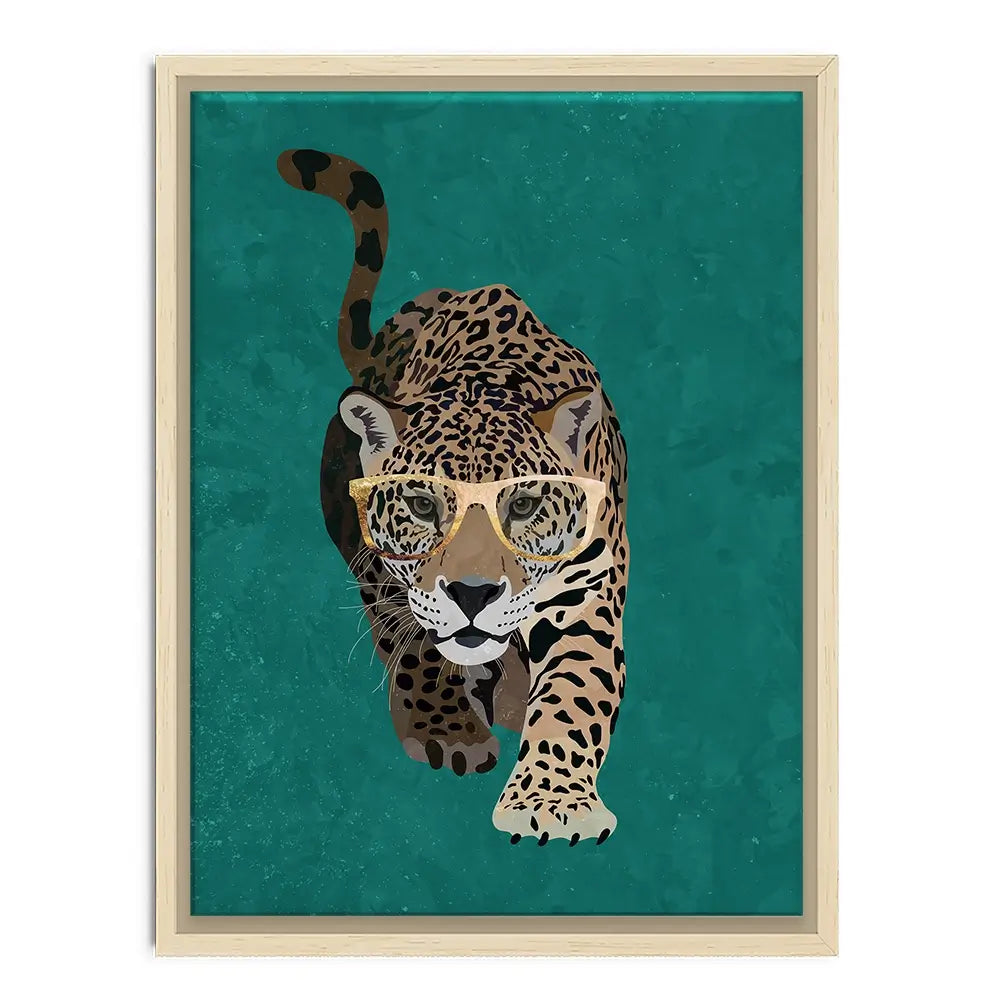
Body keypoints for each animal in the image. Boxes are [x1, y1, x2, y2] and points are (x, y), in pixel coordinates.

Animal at [276, 148, 630, 845]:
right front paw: (448, 730)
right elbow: (415, 642)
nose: (472, 595)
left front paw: (551, 802)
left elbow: (575, 692)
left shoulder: (586, 591)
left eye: (522, 505)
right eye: (421, 505)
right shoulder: (385, 568)